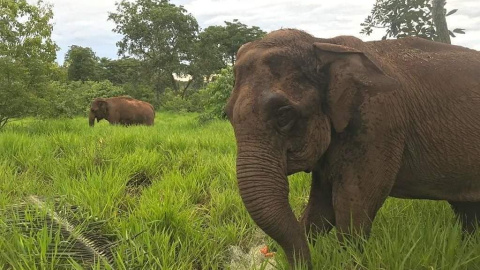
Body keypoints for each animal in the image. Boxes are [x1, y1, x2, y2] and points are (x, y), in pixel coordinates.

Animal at [225, 29, 480, 268]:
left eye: (284, 114)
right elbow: (320, 209)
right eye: (226, 114)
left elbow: (352, 208)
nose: (271, 255)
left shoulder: (376, 124)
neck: (323, 43)